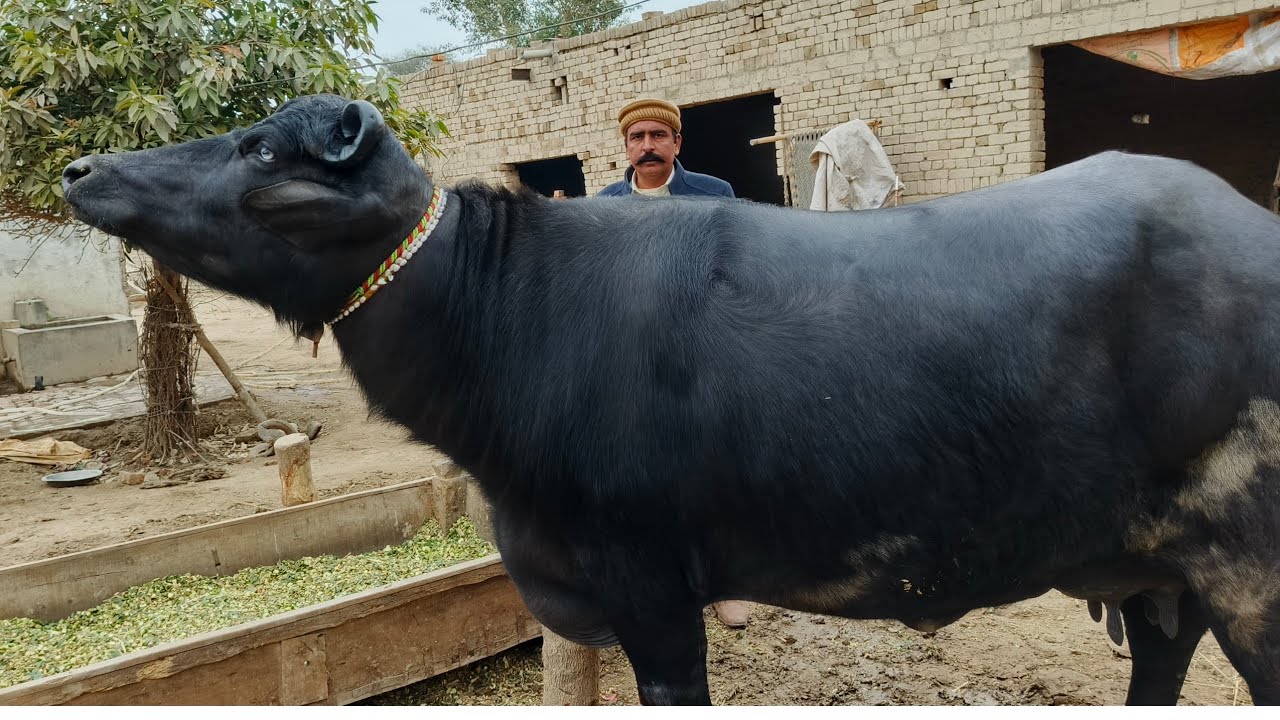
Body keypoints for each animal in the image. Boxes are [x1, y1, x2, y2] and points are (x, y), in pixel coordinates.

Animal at [62, 94, 1280, 705]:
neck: (508, 313)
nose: (83, 170)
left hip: (1248, 574)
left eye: (263, 149)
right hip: (1157, 578)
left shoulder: (649, 588)